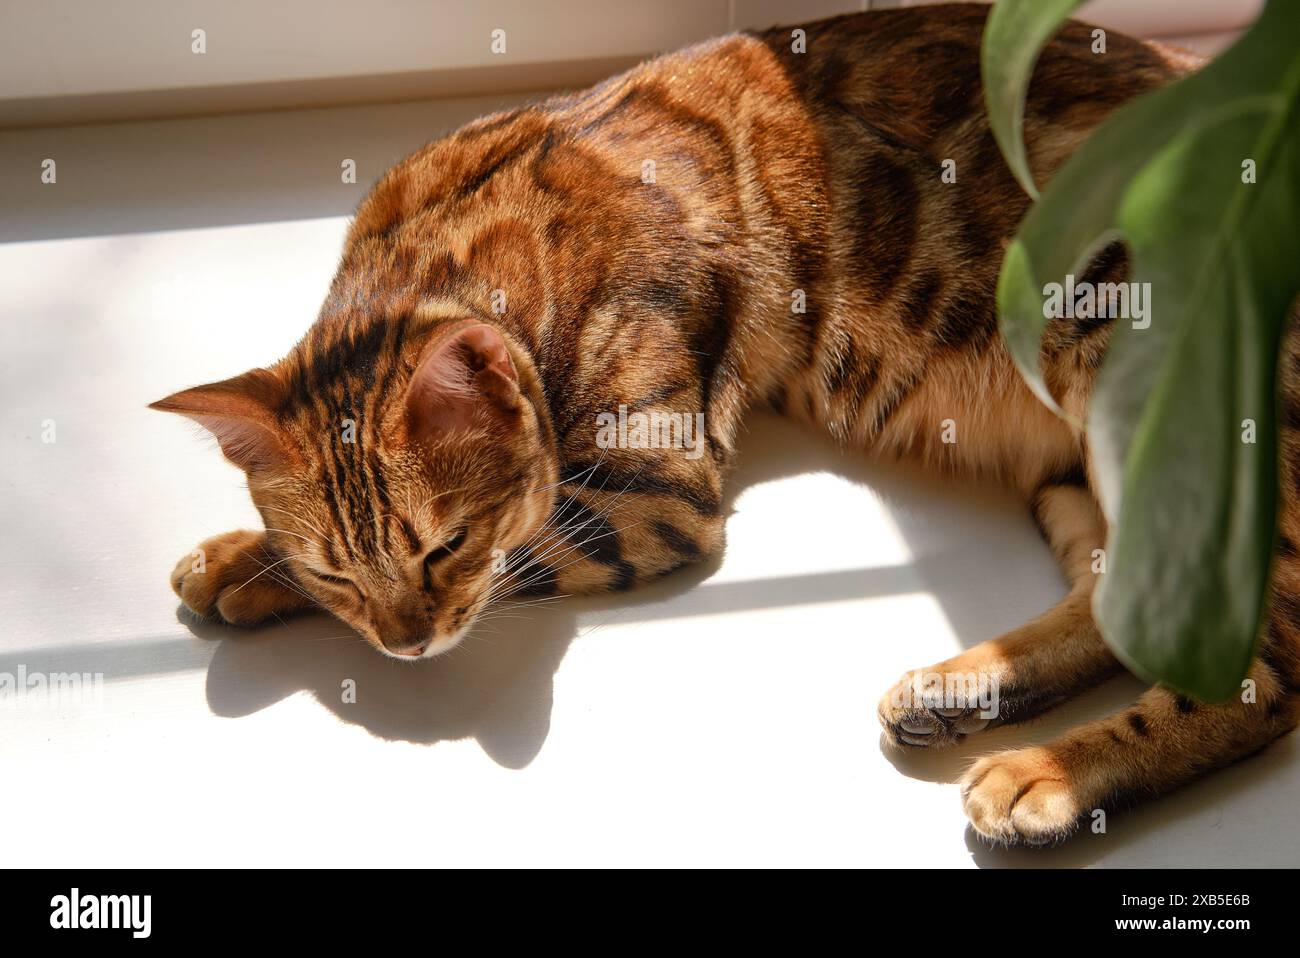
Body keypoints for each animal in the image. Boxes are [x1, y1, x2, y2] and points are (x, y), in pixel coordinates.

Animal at [149, 3, 1300, 842]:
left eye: (447, 545)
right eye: (345, 572)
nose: (406, 647)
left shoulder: (657, 493)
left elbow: (527, 550)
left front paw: (249, 567)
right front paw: (249, 559)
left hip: (1143, 368)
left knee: (1265, 676)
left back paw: (1047, 777)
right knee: (1121, 608)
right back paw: (957, 687)